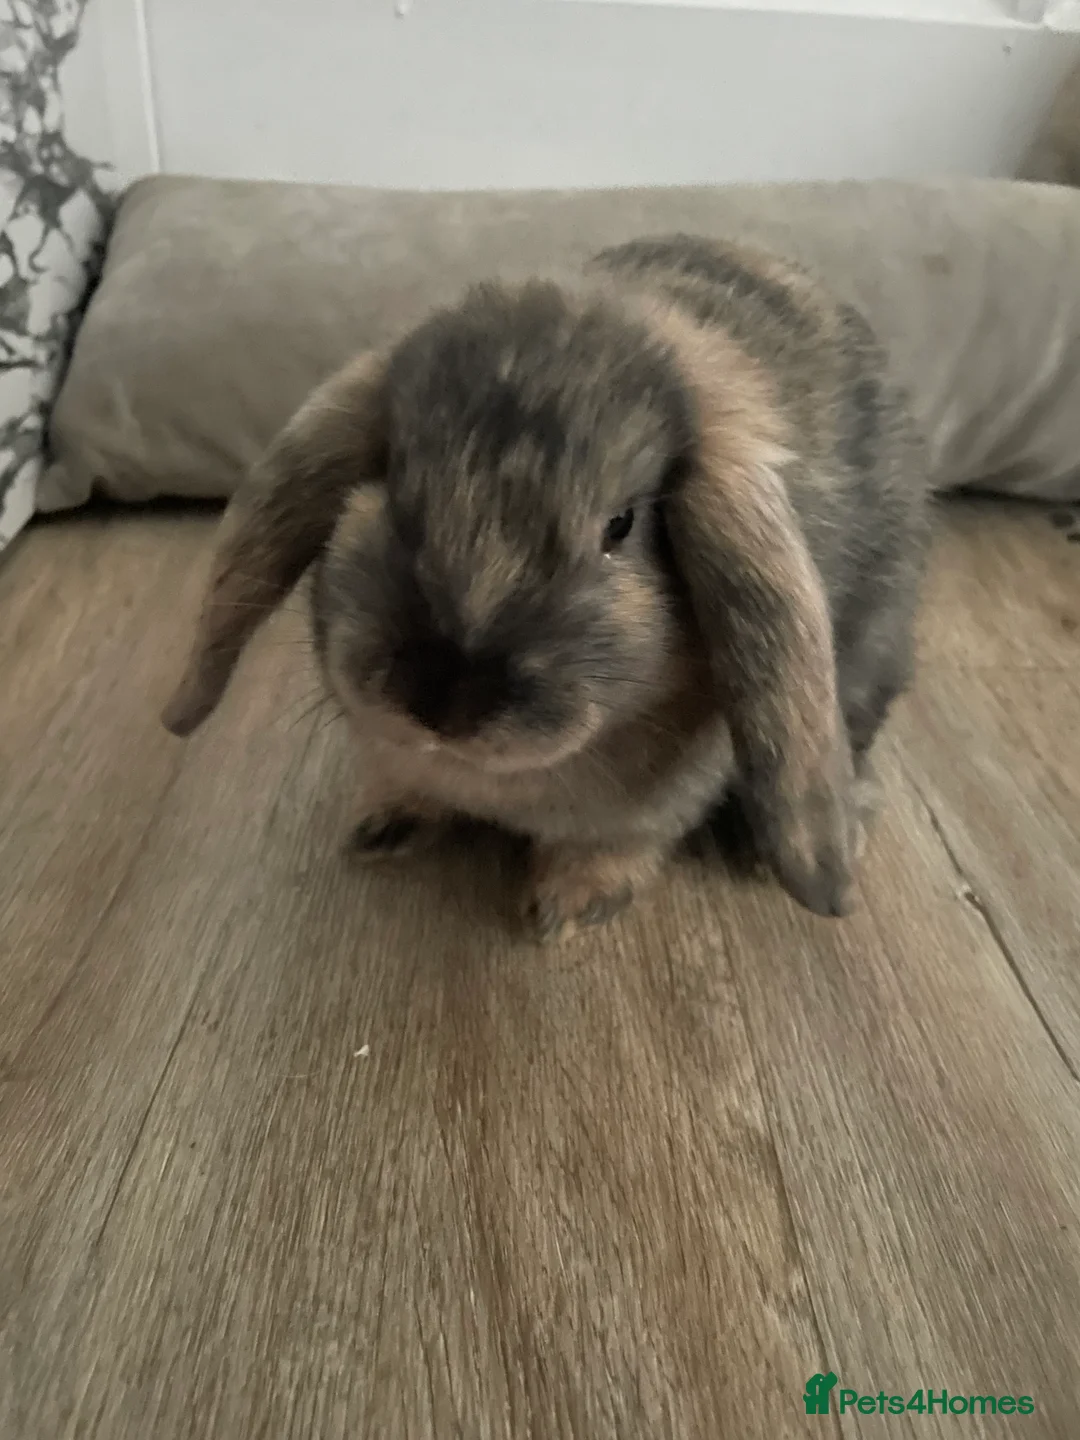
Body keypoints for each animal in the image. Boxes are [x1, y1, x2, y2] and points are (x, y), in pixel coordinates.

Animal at [161, 234, 929, 942]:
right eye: (392, 481)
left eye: (621, 524)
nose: (445, 700)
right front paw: (382, 824)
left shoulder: (657, 803)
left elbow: (618, 844)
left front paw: (566, 908)